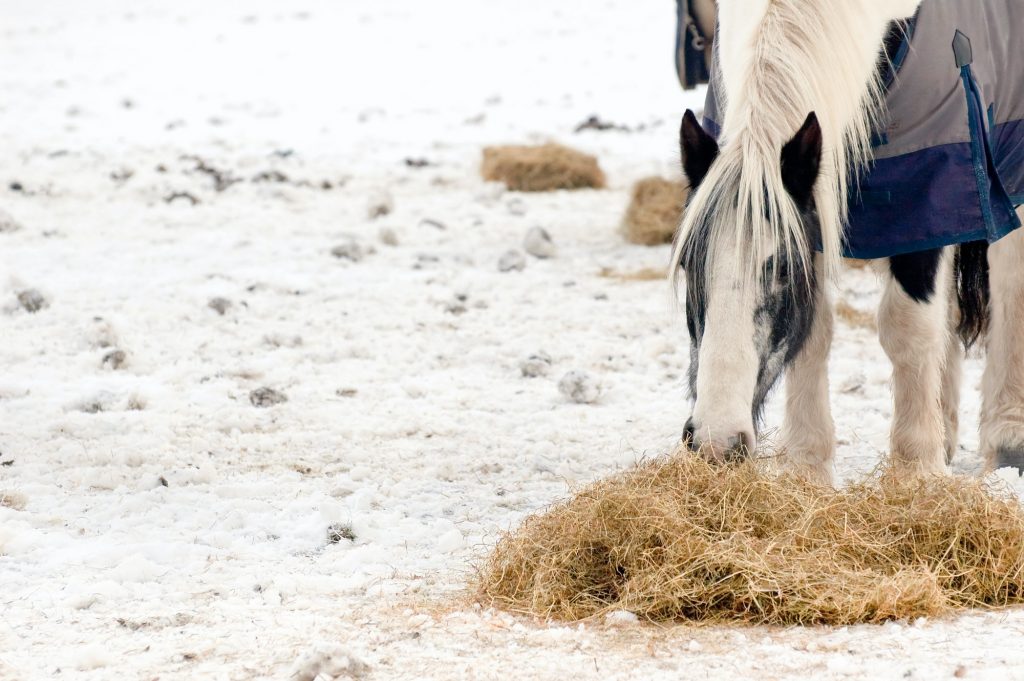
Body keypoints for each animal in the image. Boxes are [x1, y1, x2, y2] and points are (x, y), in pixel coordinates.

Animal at [671, 2, 1024, 485]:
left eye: (783, 269)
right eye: (688, 264)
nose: (715, 441)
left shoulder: (922, 196)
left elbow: (908, 328)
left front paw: (916, 470)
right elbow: (814, 334)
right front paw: (806, 468)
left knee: (1009, 283)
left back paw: (1008, 436)